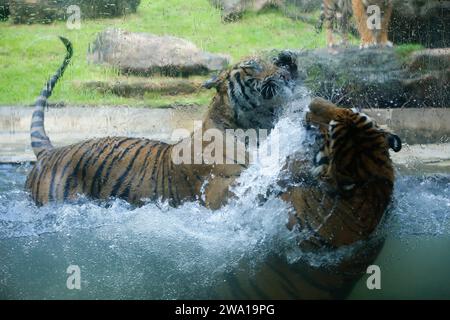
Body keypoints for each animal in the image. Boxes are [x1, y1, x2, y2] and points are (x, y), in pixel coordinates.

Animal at [25, 37, 298, 209]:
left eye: (273, 62)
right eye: (252, 67)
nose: (285, 69)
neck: (256, 127)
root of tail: (50, 152)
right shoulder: (220, 192)